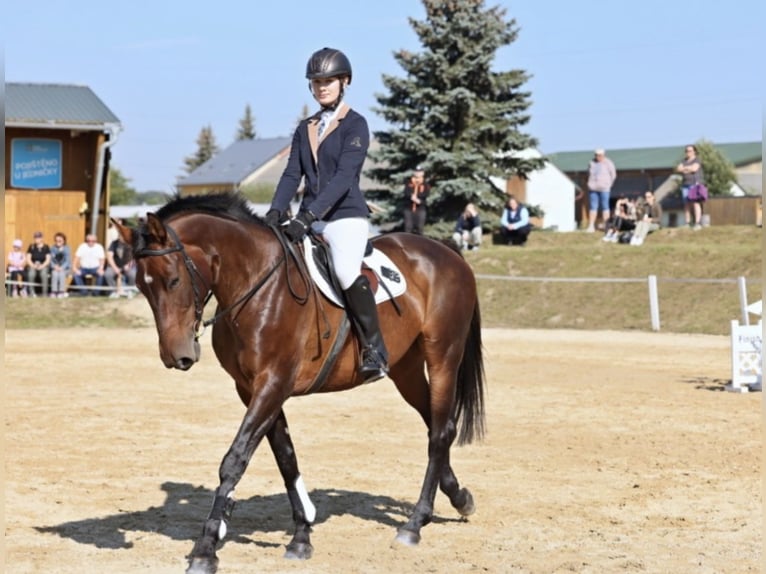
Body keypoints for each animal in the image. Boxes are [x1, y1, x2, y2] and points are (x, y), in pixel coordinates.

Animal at [117, 192, 486, 574]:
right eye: (141, 286)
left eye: (173, 280)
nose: (177, 356)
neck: (256, 283)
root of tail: (444, 251)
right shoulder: (253, 389)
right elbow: (286, 458)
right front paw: (302, 535)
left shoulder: (273, 383)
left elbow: (234, 460)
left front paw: (206, 548)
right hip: (406, 369)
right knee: (436, 425)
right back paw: (459, 497)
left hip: (443, 357)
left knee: (440, 432)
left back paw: (414, 524)